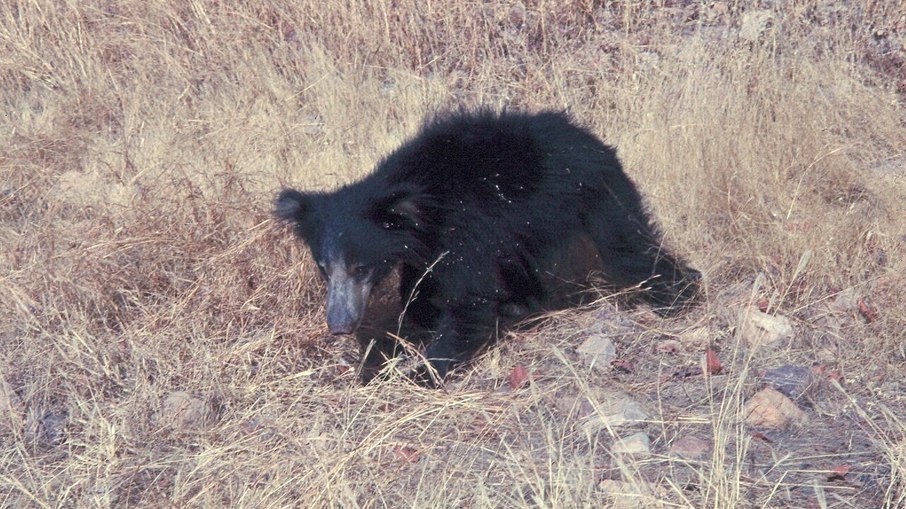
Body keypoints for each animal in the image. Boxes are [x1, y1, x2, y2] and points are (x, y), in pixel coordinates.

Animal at [275, 109, 700, 386]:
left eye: (360, 267)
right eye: (323, 268)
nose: (339, 326)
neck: (420, 210)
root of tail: (594, 141)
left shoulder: (466, 225)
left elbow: (469, 298)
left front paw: (423, 371)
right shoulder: (428, 245)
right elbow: (419, 286)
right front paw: (419, 321)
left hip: (595, 198)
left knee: (629, 250)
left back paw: (680, 296)